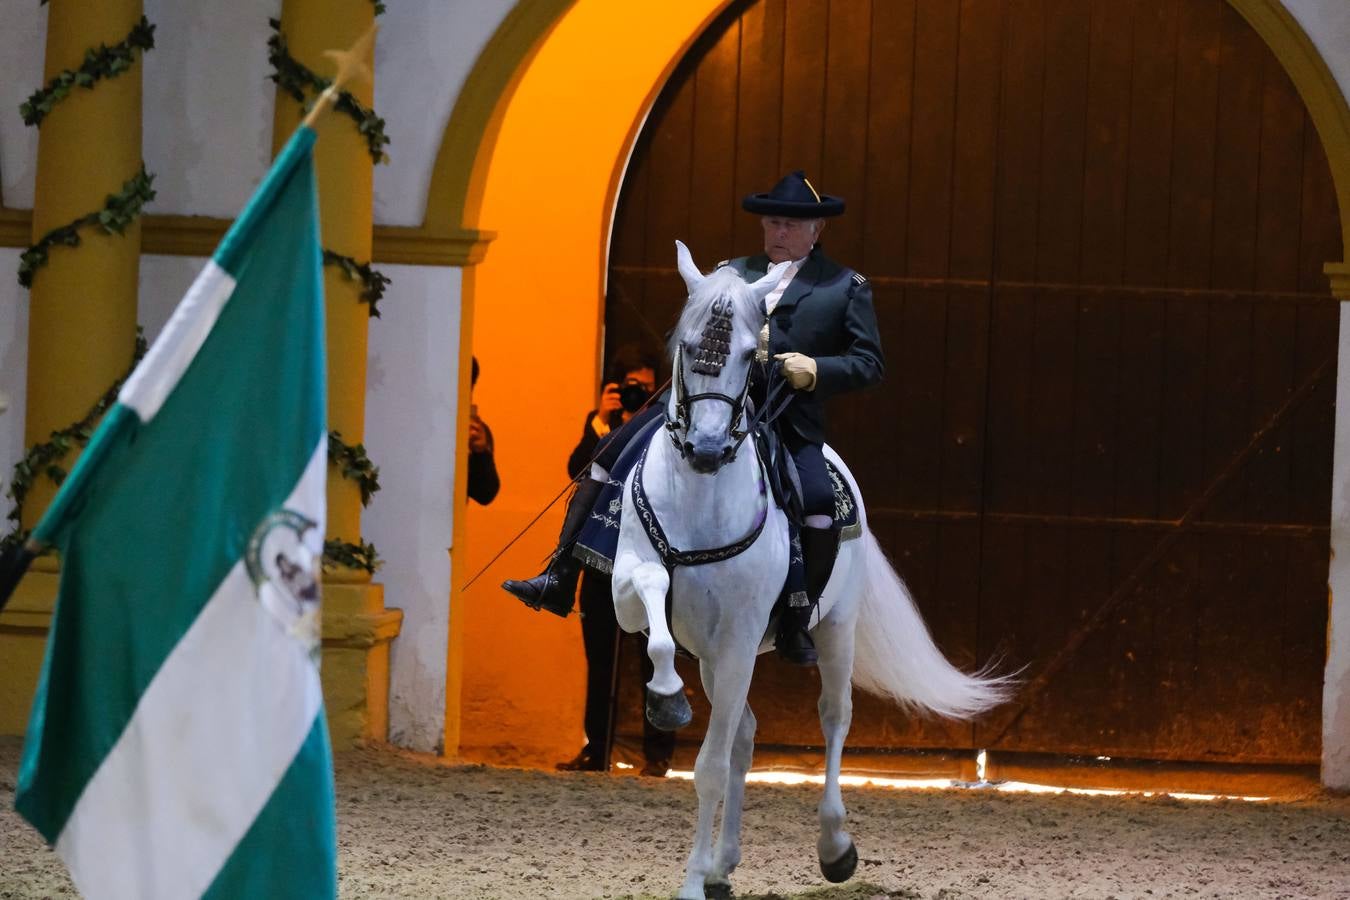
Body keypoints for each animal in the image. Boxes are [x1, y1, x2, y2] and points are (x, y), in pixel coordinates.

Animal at [612, 241, 1015, 900]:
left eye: (749, 354)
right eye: (689, 347)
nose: (705, 450)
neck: (701, 499)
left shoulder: (740, 636)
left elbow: (709, 768)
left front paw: (692, 881)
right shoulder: (638, 599)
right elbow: (653, 598)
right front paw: (667, 698)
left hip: (832, 631)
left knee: (832, 717)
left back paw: (834, 849)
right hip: (720, 657)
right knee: (746, 735)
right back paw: (724, 865)